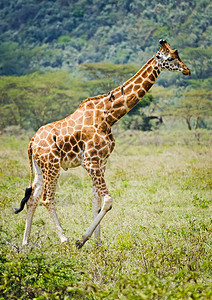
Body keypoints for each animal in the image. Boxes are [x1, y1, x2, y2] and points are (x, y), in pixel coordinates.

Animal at [14, 39, 190, 248]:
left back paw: (25, 243)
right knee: (47, 199)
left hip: (40, 167)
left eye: (178, 55)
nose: (187, 70)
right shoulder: (90, 161)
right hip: (52, 165)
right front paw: (82, 240)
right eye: (170, 58)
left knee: (32, 199)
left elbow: (96, 202)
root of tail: (32, 142)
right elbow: (107, 201)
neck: (109, 116)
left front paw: (97, 243)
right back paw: (64, 238)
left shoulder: (102, 161)